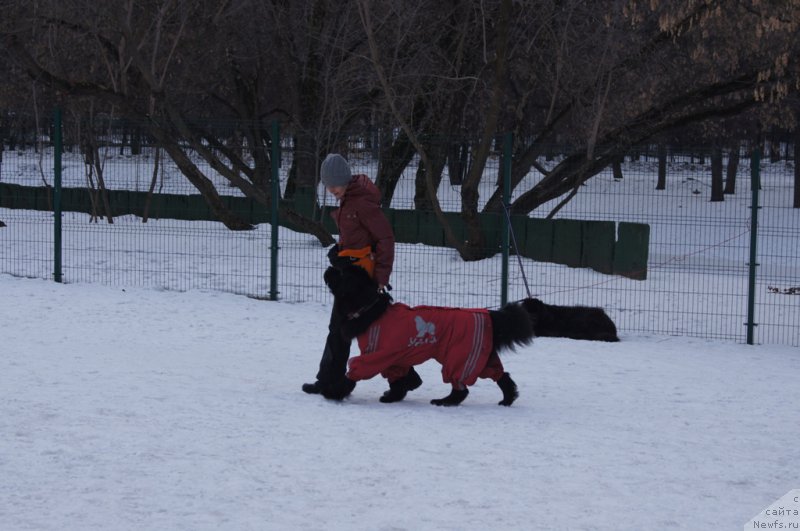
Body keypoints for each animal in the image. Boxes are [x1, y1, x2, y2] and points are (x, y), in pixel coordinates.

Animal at [324, 266, 536, 408]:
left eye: (341, 273)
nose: (329, 267)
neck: (369, 308)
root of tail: (490, 315)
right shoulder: (392, 358)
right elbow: (398, 379)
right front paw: (394, 396)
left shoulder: (375, 356)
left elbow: (354, 372)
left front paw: (333, 392)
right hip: (479, 357)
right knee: (500, 375)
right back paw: (507, 399)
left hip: (459, 357)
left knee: (460, 387)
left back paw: (445, 401)